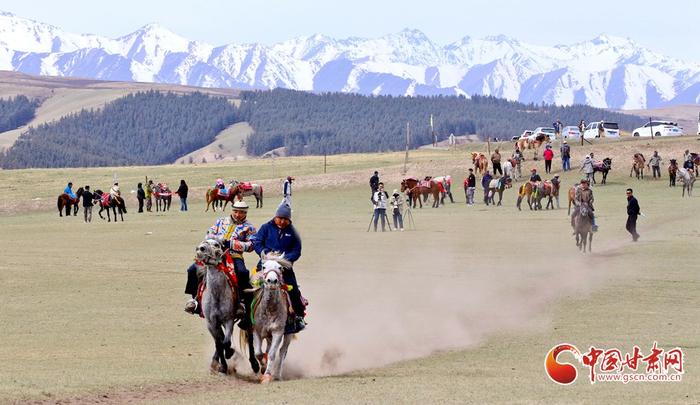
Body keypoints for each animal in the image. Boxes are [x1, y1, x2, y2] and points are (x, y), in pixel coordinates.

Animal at [197, 238, 241, 374]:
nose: (200, 249)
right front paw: (222, 366)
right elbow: (219, 343)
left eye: (216, 244)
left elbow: (225, 342)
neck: (217, 295)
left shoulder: (229, 320)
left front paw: (230, 353)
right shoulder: (211, 322)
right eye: (203, 242)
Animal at [246, 252, 292, 382]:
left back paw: (277, 375)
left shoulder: (278, 332)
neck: (270, 309)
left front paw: (267, 375)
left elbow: (272, 354)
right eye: (264, 267)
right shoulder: (257, 331)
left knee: (282, 351)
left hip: (288, 334)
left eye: (280, 267)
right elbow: (258, 353)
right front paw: (263, 367)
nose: (272, 281)